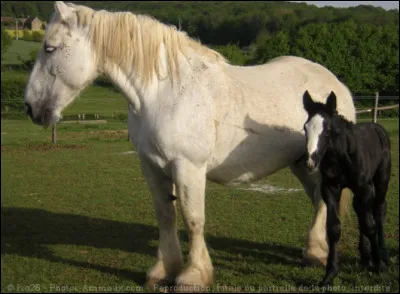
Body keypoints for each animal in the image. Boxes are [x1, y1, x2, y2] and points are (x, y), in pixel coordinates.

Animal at [25, 1, 356, 292]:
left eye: (49, 48)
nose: (30, 107)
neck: (163, 93)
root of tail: (336, 85)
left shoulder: (188, 167)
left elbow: (193, 218)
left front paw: (193, 276)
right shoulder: (151, 166)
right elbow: (165, 215)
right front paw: (163, 271)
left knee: (324, 201)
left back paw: (315, 254)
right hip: (301, 163)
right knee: (320, 201)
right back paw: (316, 250)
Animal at [304, 90, 390, 288]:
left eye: (327, 130)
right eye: (305, 128)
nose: (311, 162)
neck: (340, 157)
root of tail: (377, 127)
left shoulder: (365, 188)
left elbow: (370, 225)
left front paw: (380, 266)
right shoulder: (330, 188)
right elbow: (333, 228)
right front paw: (329, 275)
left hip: (381, 180)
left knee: (378, 211)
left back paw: (383, 256)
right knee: (362, 212)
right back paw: (366, 257)